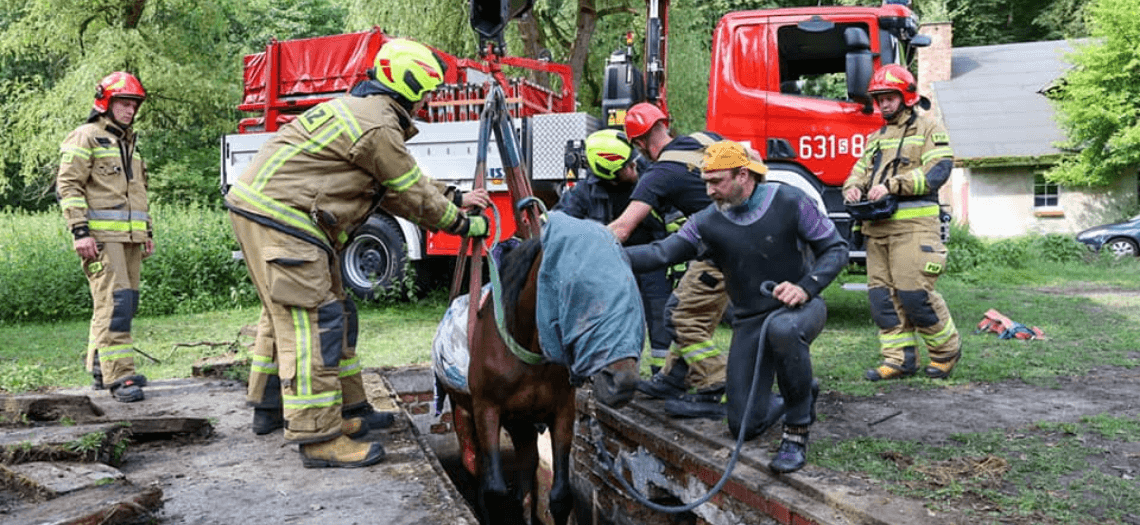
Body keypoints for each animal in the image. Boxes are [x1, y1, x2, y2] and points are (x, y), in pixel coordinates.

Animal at [440, 236, 642, 523]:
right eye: (575, 287)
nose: (622, 380)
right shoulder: (486, 409)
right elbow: (494, 492)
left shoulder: (562, 411)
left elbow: (559, 496)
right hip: (463, 412)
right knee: (474, 465)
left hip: (521, 424)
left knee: (526, 475)